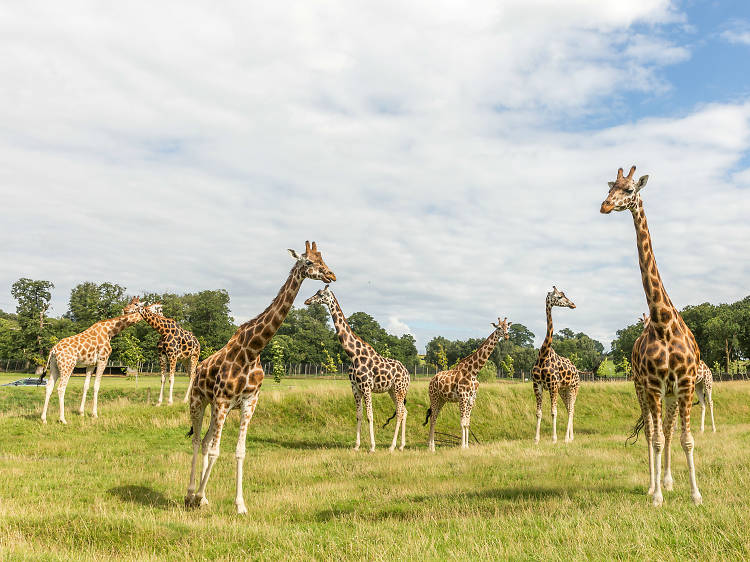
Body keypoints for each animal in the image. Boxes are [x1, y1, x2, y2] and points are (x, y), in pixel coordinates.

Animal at [184, 241, 336, 512]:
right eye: (309, 262)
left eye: (323, 259)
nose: (331, 275)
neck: (253, 350)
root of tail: (200, 366)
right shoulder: (223, 400)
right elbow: (216, 451)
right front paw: (199, 495)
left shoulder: (248, 402)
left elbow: (239, 451)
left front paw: (240, 505)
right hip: (199, 401)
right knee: (197, 441)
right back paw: (191, 494)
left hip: (215, 408)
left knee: (205, 442)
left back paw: (204, 497)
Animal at [304, 284, 412, 450]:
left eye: (320, 294)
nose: (307, 301)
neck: (353, 354)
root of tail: (407, 373)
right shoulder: (355, 387)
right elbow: (359, 415)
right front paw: (356, 446)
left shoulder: (366, 387)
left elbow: (370, 416)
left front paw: (372, 447)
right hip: (392, 390)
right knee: (404, 411)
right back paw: (401, 446)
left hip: (400, 389)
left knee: (400, 412)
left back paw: (392, 447)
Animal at [426, 316, 516, 450]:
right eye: (499, 327)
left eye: (507, 327)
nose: (506, 336)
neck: (474, 371)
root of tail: (432, 380)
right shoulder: (463, 397)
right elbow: (462, 422)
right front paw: (462, 446)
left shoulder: (472, 398)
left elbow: (468, 422)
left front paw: (467, 446)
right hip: (434, 397)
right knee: (432, 418)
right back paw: (431, 448)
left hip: (442, 399)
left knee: (434, 417)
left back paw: (432, 446)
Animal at [528, 286, 580, 444]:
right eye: (559, 296)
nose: (573, 304)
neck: (543, 355)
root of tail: (577, 370)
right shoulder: (537, 384)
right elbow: (539, 413)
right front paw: (536, 439)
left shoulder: (553, 385)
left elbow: (553, 412)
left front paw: (554, 439)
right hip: (564, 390)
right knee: (569, 408)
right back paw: (571, 437)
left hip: (574, 387)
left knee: (571, 409)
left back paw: (566, 439)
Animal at [604, 164, 704, 506]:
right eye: (610, 187)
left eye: (629, 189)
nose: (605, 206)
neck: (662, 322)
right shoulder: (653, 385)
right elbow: (657, 439)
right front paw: (657, 496)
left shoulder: (684, 383)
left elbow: (686, 439)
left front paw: (695, 494)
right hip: (642, 389)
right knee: (651, 433)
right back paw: (653, 484)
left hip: (672, 394)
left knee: (670, 431)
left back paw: (669, 481)